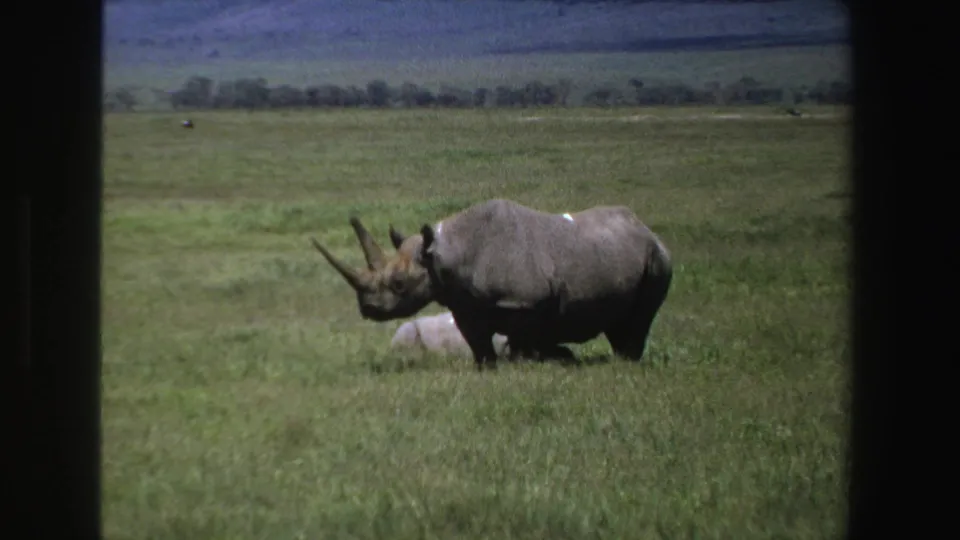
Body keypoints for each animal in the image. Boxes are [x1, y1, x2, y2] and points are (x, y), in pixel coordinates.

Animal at [310, 198, 672, 370]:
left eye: (399, 284)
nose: (368, 308)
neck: (443, 253)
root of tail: (647, 229)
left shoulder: (526, 301)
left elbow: (524, 338)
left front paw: (530, 363)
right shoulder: (463, 304)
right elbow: (479, 344)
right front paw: (486, 368)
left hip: (657, 260)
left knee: (639, 320)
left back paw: (626, 360)